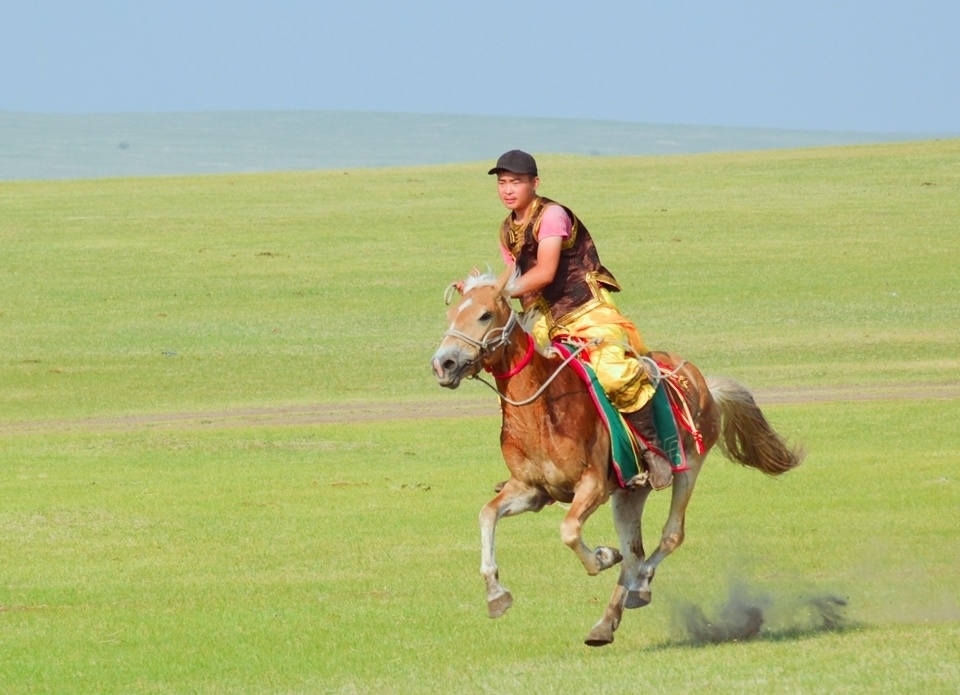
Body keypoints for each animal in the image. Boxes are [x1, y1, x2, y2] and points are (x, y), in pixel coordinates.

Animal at [430, 272, 804, 648]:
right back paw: (606, 622)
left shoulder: (592, 485)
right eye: (450, 316)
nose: (443, 364)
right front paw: (496, 594)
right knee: (635, 553)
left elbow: (569, 530)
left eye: (484, 315)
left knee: (670, 536)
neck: (543, 408)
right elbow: (487, 515)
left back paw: (639, 584)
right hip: (629, 493)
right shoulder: (531, 490)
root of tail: (703, 383)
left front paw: (602, 556)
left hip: (688, 466)